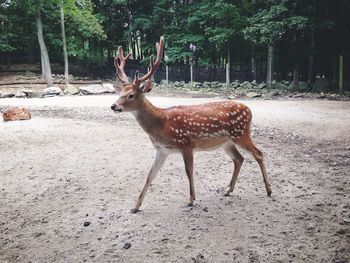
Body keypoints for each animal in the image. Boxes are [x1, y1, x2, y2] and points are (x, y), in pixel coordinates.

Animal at [110, 36, 272, 214]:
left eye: (131, 95)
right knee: (239, 159)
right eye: (120, 93)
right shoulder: (161, 150)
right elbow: (150, 175)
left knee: (258, 153)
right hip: (227, 142)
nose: (113, 106)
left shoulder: (186, 143)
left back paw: (269, 190)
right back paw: (228, 190)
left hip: (241, 133)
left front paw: (191, 200)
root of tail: (249, 110)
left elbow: (189, 171)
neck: (161, 124)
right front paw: (135, 206)